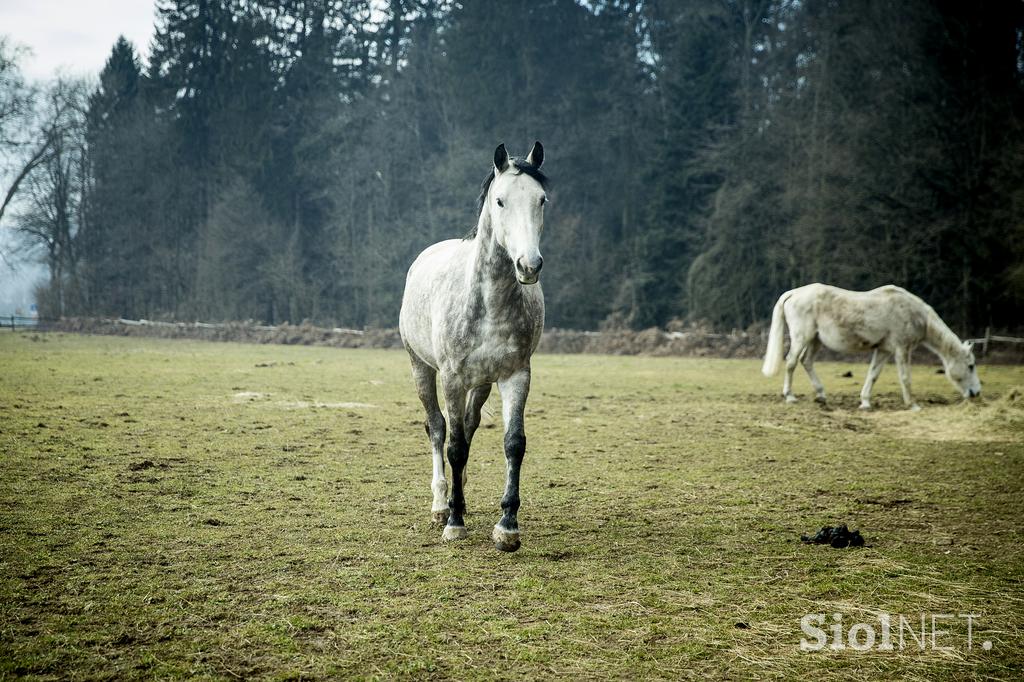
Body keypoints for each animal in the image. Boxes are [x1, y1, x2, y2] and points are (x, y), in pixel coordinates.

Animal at [395, 140, 548, 548]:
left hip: (480, 383)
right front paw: (454, 521)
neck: (487, 302)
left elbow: (513, 443)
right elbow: (453, 444)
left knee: (468, 423)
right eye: (500, 201)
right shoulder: (451, 377)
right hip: (421, 368)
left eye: (541, 199)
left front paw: (507, 526)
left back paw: (457, 492)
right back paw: (440, 503)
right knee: (438, 427)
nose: (529, 266)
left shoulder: (516, 375)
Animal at [765, 282, 978, 409]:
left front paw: (865, 402)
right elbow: (905, 377)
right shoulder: (902, 349)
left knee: (806, 362)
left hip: (815, 340)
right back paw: (790, 396)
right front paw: (912, 405)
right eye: (970, 366)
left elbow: (873, 374)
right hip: (802, 338)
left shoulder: (883, 350)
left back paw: (821, 395)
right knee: (791, 362)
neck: (917, 315)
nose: (976, 393)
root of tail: (794, 293)